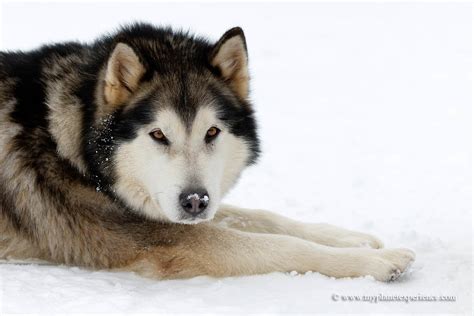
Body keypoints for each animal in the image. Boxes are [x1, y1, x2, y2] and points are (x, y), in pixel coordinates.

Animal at [0, 22, 414, 282]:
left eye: (211, 132)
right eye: (158, 135)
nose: (195, 201)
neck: (71, 146)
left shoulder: (182, 207)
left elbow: (261, 217)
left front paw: (347, 237)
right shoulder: (168, 238)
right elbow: (282, 246)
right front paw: (379, 260)